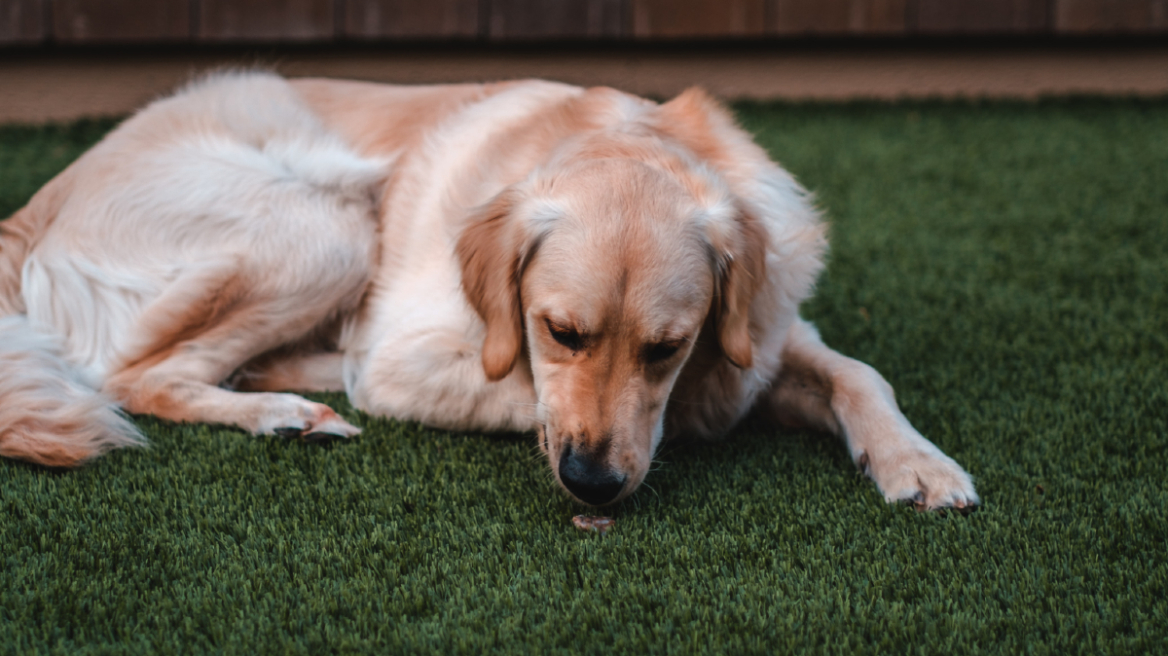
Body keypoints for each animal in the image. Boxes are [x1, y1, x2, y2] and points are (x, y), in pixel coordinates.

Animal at [0, 72, 976, 511]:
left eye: (664, 346)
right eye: (560, 332)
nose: (593, 485)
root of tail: (32, 211)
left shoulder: (768, 325)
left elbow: (860, 374)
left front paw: (918, 462)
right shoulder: (402, 360)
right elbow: (526, 396)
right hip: (327, 224)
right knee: (136, 373)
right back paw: (280, 409)